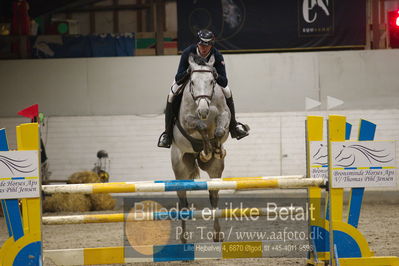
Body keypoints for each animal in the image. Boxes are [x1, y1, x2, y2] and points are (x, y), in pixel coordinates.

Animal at [171, 53, 231, 243]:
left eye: (212, 81)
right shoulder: (188, 121)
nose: (203, 111)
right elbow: (201, 126)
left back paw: (217, 234)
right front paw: (206, 151)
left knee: (214, 197)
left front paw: (216, 150)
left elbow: (219, 130)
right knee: (182, 202)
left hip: (215, 170)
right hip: (180, 169)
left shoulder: (224, 116)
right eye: (192, 82)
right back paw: (183, 238)